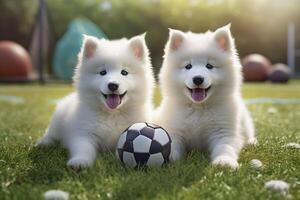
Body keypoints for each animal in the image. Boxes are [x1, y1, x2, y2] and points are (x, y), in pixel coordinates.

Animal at [36, 34, 155, 169]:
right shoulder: (84, 132)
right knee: (51, 133)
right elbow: (83, 148)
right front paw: (79, 162)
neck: (112, 114)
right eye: (102, 72)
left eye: (124, 72)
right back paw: (43, 143)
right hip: (58, 120)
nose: (112, 85)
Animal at [154, 24, 256, 169]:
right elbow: (171, 145)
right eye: (188, 66)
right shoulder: (174, 130)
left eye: (209, 66)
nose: (198, 79)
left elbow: (225, 146)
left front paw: (224, 161)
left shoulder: (224, 131)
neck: (198, 108)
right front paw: (170, 160)